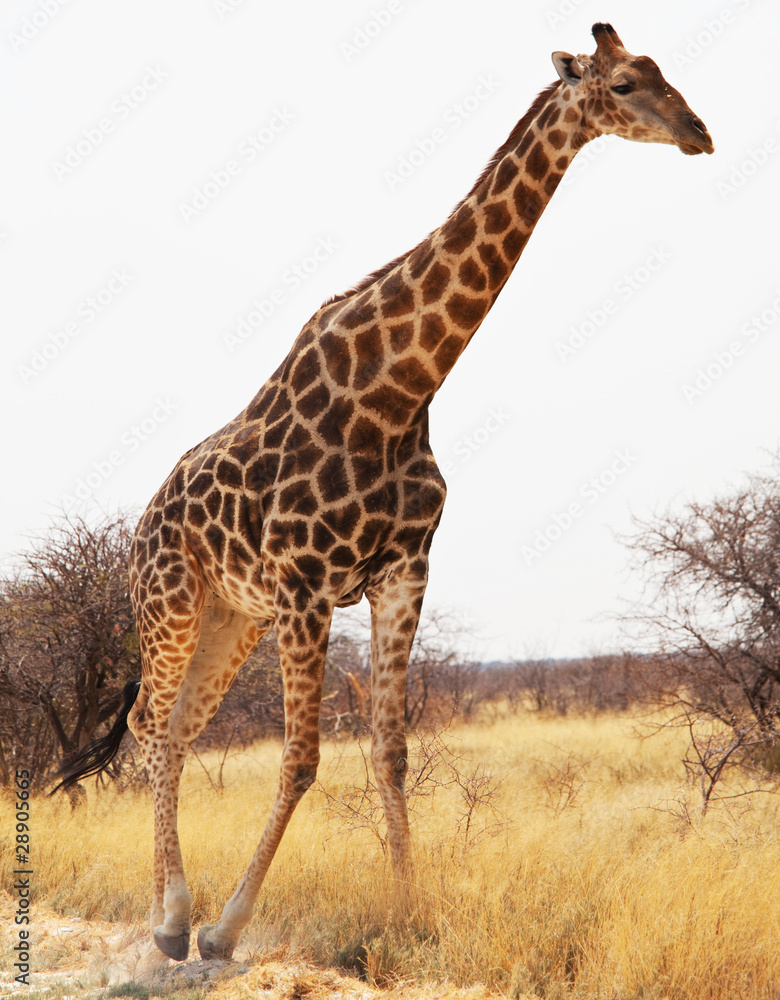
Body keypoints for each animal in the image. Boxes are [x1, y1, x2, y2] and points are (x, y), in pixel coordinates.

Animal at [56, 23, 712, 962]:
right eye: (624, 83)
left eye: (665, 73)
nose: (700, 132)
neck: (398, 389)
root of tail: (143, 523)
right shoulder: (306, 587)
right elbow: (300, 758)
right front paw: (225, 928)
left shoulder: (402, 573)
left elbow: (391, 751)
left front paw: (410, 911)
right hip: (172, 601)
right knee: (148, 727)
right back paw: (169, 917)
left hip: (233, 616)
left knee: (176, 730)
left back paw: (174, 912)